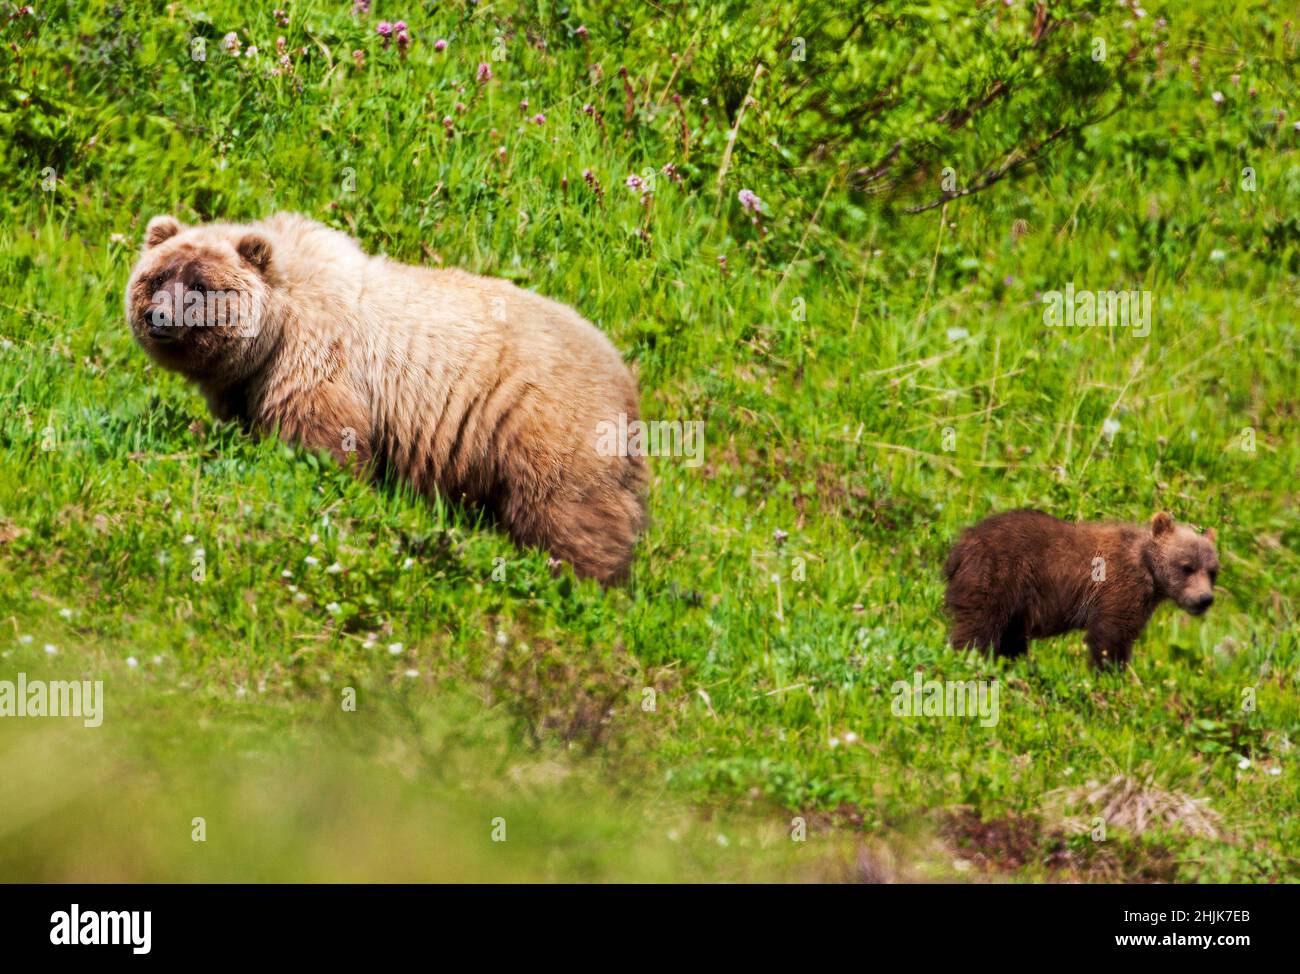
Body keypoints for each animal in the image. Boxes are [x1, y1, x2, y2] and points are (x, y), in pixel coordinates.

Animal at [124, 212, 647, 584]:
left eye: (200, 285)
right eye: (159, 276)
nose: (160, 317)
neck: (275, 331)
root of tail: (626, 379)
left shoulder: (319, 363)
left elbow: (326, 441)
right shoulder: (248, 383)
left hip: (546, 423)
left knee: (568, 512)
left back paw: (581, 580)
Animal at [942, 509, 1219, 668]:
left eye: (1213, 571)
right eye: (1186, 566)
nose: (1204, 599)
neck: (1147, 568)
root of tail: (961, 545)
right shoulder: (1118, 587)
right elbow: (1111, 634)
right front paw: (1111, 673)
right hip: (998, 578)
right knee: (978, 626)